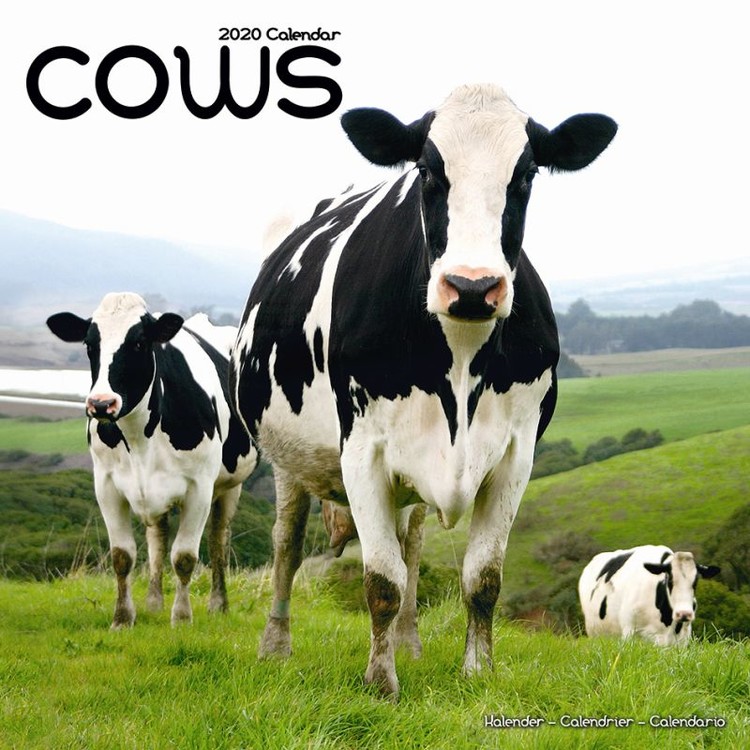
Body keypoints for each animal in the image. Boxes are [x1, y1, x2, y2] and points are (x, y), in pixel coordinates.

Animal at [46, 292, 257, 628]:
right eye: (90, 345)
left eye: (139, 343)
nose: (102, 404)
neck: (139, 437)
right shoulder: (106, 485)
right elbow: (123, 555)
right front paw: (122, 618)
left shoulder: (200, 487)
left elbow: (185, 557)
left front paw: (182, 618)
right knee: (158, 535)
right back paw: (154, 603)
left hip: (231, 484)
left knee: (218, 538)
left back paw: (218, 604)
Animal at [230, 83, 617, 697]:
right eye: (428, 171)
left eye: (527, 172)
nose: (473, 287)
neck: (459, 352)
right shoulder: (361, 452)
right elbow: (381, 580)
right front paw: (380, 682)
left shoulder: (516, 454)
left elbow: (481, 576)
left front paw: (477, 671)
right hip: (289, 457)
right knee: (286, 542)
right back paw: (276, 644)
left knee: (410, 545)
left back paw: (409, 642)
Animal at [578, 545, 720, 645]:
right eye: (669, 579)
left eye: (695, 581)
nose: (684, 613)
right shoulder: (630, 632)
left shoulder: (682, 639)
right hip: (595, 633)